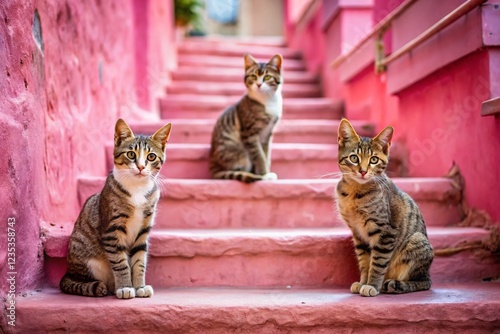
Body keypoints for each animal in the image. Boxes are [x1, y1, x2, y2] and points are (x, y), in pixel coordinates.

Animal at [209, 52, 284, 183]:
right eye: (253, 76)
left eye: (267, 77)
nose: (259, 84)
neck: (268, 101)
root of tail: (213, 161)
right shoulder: (249, 134)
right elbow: (259, 156)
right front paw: (265, 174)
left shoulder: (267, 134)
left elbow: (266, 154)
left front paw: (267, 170)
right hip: (241, 155)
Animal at [336, 118, 434, 296]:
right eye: (354, 158)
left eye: (374, 160)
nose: (363, 171)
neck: (355, 192)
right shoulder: (358, 234)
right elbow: (365, 262)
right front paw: (363, 282)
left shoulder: (386, 232)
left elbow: (377, 263)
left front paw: (372, 285)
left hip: (417, 241)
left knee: (422, 282)